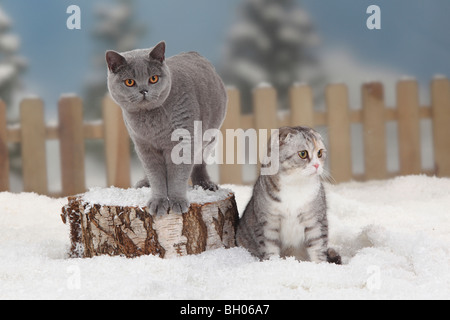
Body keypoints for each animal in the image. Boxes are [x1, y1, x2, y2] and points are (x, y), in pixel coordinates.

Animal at [104, 40, 225, 215]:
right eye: (129, 82)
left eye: (153, 78)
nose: (144, 90)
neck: (152, 122)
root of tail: (192, 52)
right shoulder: (144, 146)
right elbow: (156, 176)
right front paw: (158, 201)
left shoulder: (183, 140)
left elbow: (177, 176)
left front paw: (177, 201)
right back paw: (144, 183)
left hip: (210, 137)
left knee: (199, 162)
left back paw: (205, 184)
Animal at [237, 126, 340, 264]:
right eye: (303, 153)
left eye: (319, 153)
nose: (317, 165)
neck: (295, 185)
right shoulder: (267, 223)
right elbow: (270, 248)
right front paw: (273, 264)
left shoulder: (315, 220)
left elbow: (318, 246)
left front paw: (320, 265)